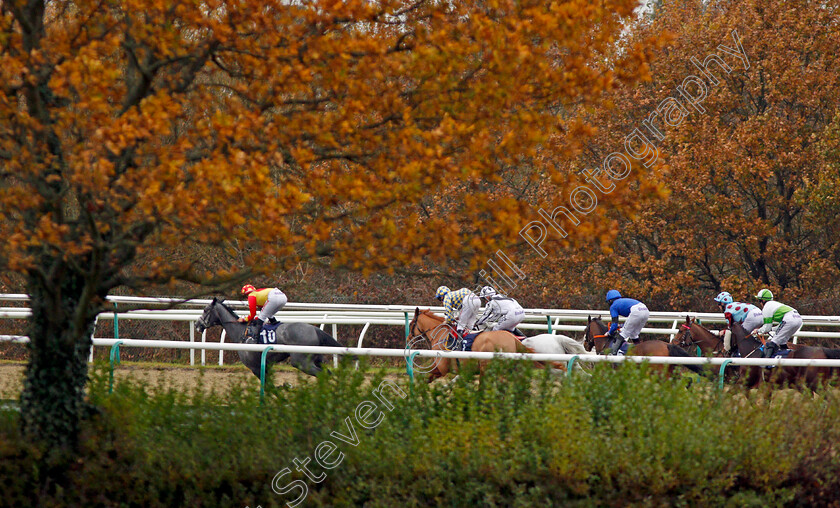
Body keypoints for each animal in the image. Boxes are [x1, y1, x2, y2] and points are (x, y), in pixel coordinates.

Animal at [195, 298, 342, 378]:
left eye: (205, 310)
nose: (197, 324)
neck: (241, 332)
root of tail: (314, 329)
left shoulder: (255, 368)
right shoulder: (265, 366)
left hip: (301, 361)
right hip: (318, 359)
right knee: (328, 373)